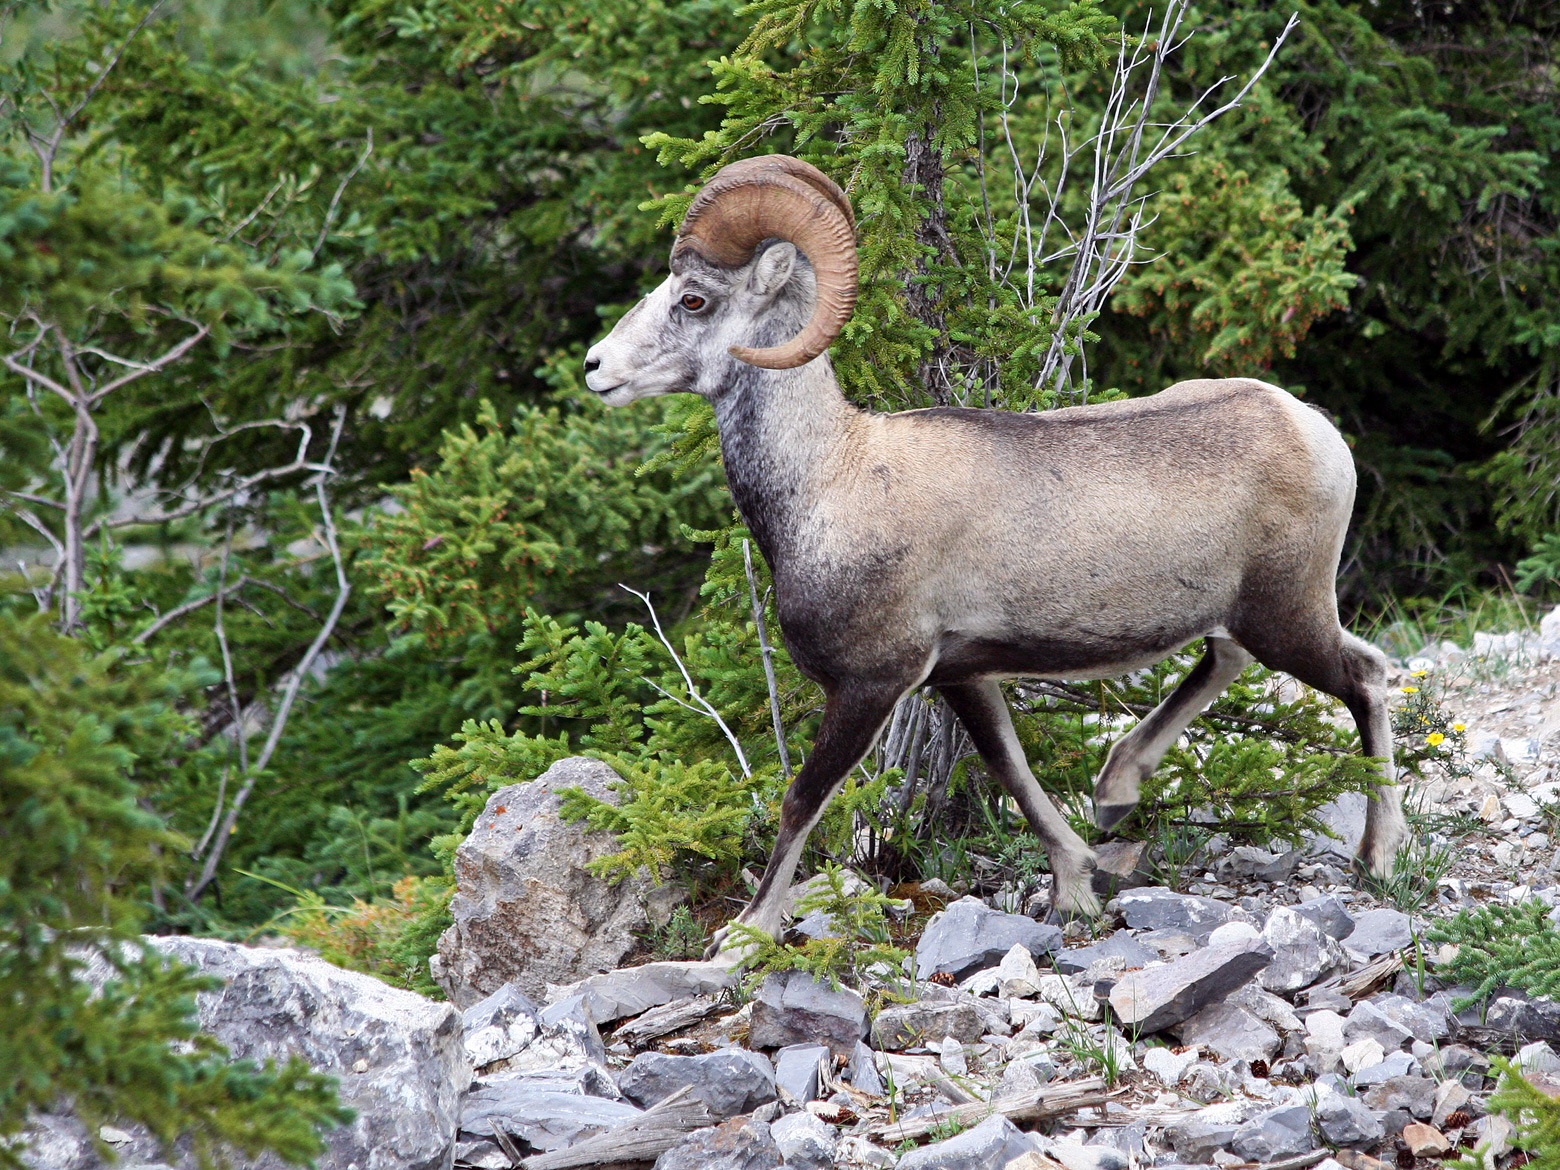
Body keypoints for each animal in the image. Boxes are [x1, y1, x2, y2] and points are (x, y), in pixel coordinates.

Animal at [582, 154, 1406, 956]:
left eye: (693, 299)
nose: (595, 367)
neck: (828, 478)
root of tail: (1312, 429)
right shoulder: (963, 679)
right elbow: (1012, 773)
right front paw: (1077, 889)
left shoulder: (871, 684)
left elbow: (801, 801)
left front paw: (744, 937)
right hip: (1246, 617)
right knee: (1236, 662)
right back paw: (1116, 791)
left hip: (1286, 616)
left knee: (1365, 677)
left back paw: (1376, 856)